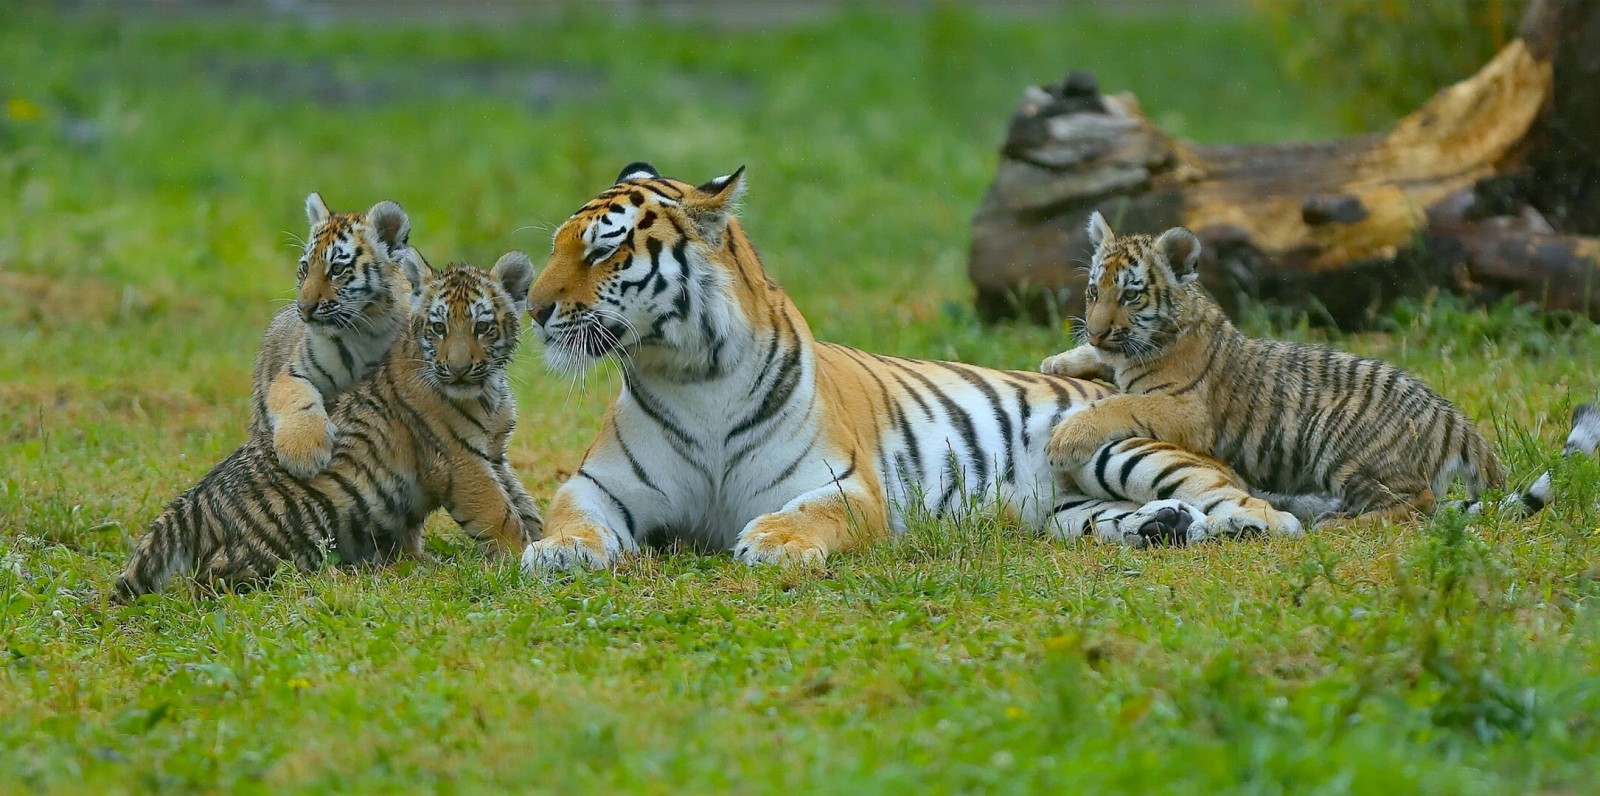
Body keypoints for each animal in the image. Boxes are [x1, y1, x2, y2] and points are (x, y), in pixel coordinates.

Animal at [518, 163, 1305, 572]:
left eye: (603, 250)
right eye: (556, 245)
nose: (531, 308)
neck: (693, 375)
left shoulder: (844, 486)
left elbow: (806, 514)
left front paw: (773, 543)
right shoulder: (604, 485)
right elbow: (572, 517)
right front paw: (557, 553)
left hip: (1117, 448)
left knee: (1259, 506)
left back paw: (1245, 526)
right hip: (1070, 511)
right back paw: (1164, 526)